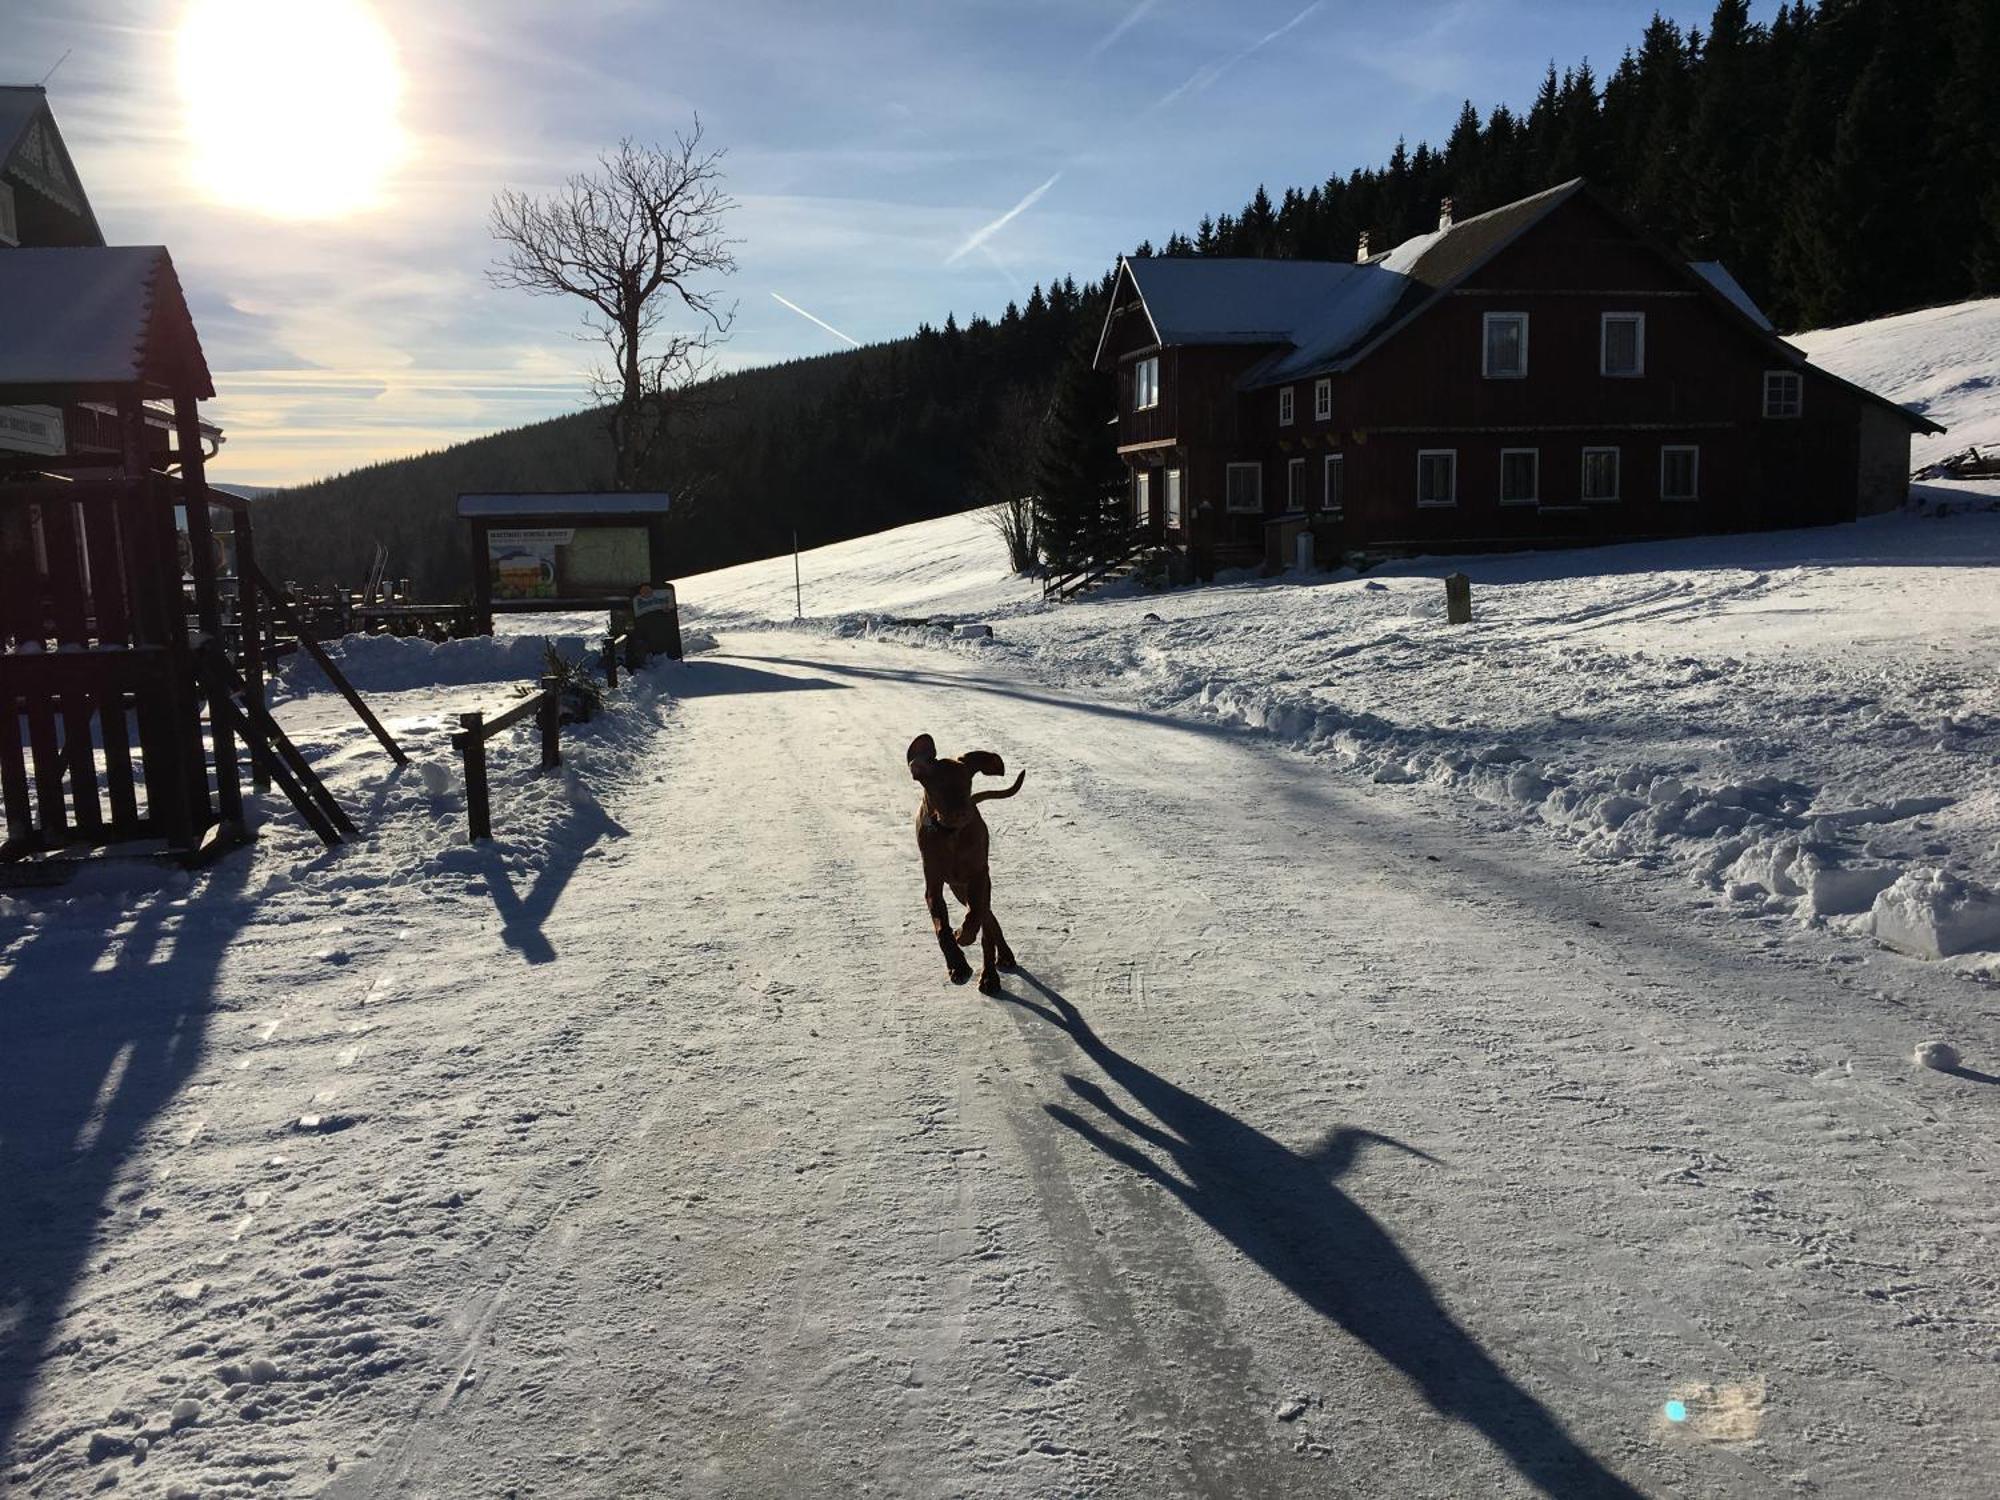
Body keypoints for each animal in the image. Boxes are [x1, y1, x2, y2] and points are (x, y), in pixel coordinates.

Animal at [912, 732, 1024, 992]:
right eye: (938, 787)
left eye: (967, 783)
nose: (963, 812)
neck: (951, 835)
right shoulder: (933, 886)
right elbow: (942, 928)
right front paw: (958, 965)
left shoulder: (979, 876)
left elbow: (975, 916)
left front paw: (964, 934)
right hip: (958, 889)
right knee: (987, 918)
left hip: (973, 886)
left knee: (987, 920)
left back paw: (992, 972)